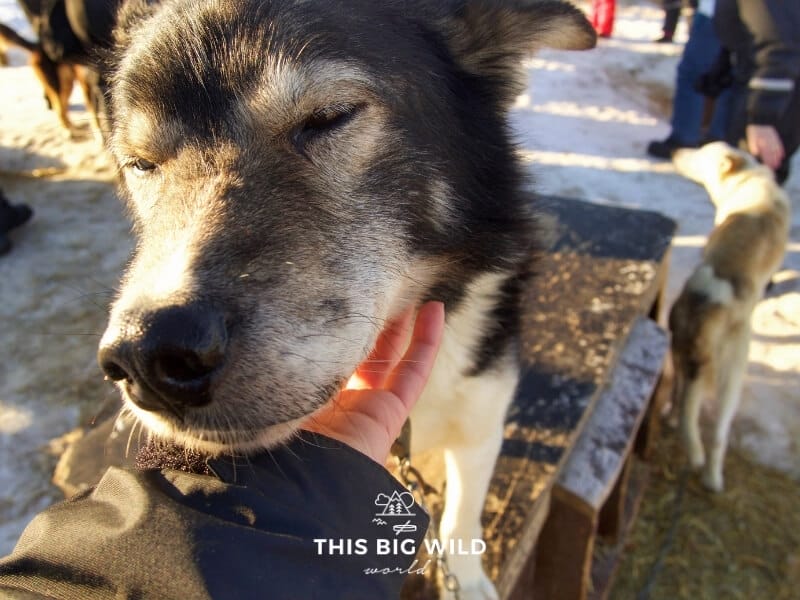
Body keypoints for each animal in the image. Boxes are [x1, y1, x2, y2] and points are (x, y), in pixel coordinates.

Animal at [95, 2, 592, 596]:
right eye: (141, 163)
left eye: (330, 116)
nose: (147, 355)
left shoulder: (481, 421)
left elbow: (462, 518)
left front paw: (467, 581)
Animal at [668, 142, 788, 492]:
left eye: (698, 154)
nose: (675, 151)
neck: (750, 176)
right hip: (733, 374)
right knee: (719, 435)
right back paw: (712, 478)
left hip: (681, 355)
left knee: (680, 396)